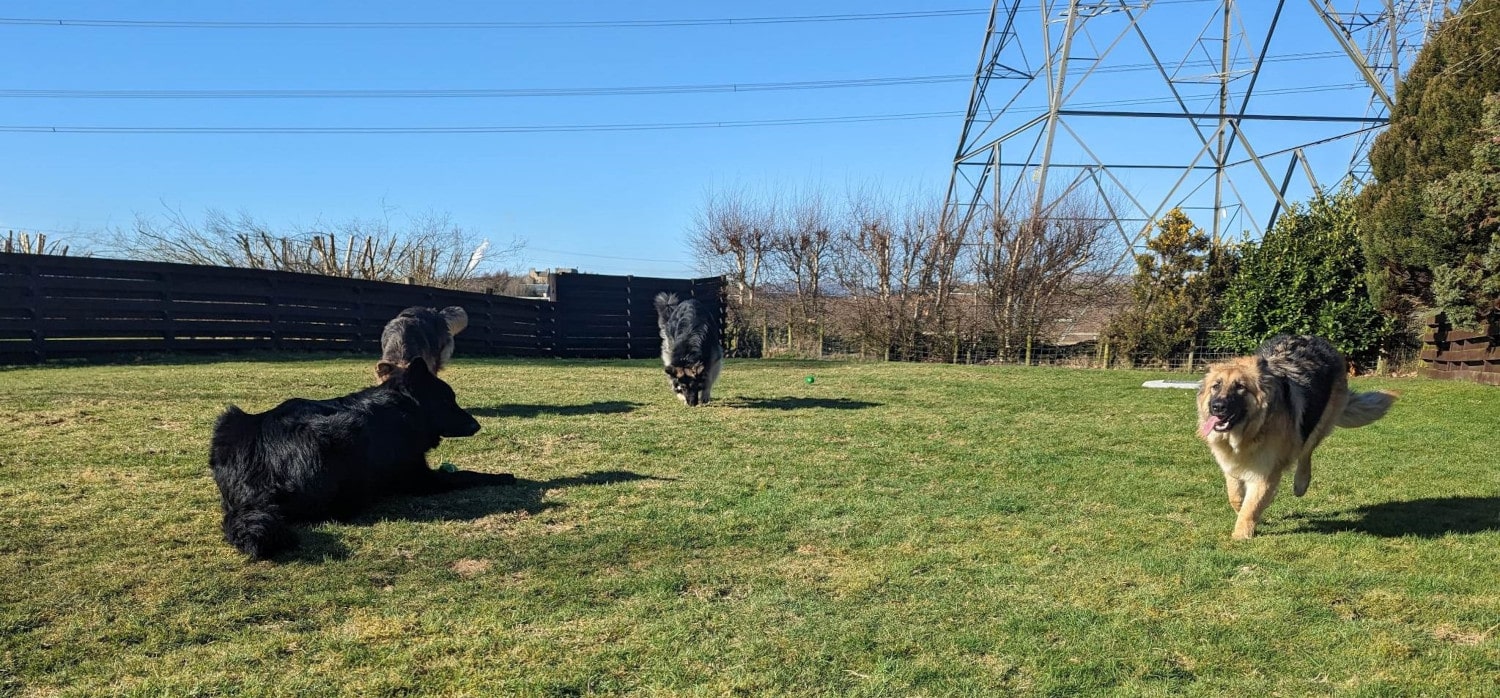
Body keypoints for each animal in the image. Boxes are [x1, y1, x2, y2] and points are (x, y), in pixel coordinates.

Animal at [208, 355, 516, 558]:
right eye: (446, 401)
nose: (476, 425)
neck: (403, 408)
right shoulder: (420, 479)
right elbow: (464, 475)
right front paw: (503, 476)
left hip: (228, 420)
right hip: (344, 432)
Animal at [1194, 336, 1392, 537]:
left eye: (1240, 387)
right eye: (1216, 386)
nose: (1217, 407)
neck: (1250, 432)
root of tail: (1318, 339)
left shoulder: (1265, 473)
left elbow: (1251, 507)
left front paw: (1241, 535)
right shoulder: (1231, 465)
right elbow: (1235, 497)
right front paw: (1244, 512)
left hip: (1318, 423)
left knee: (1306, 451)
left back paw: (1301, 483)